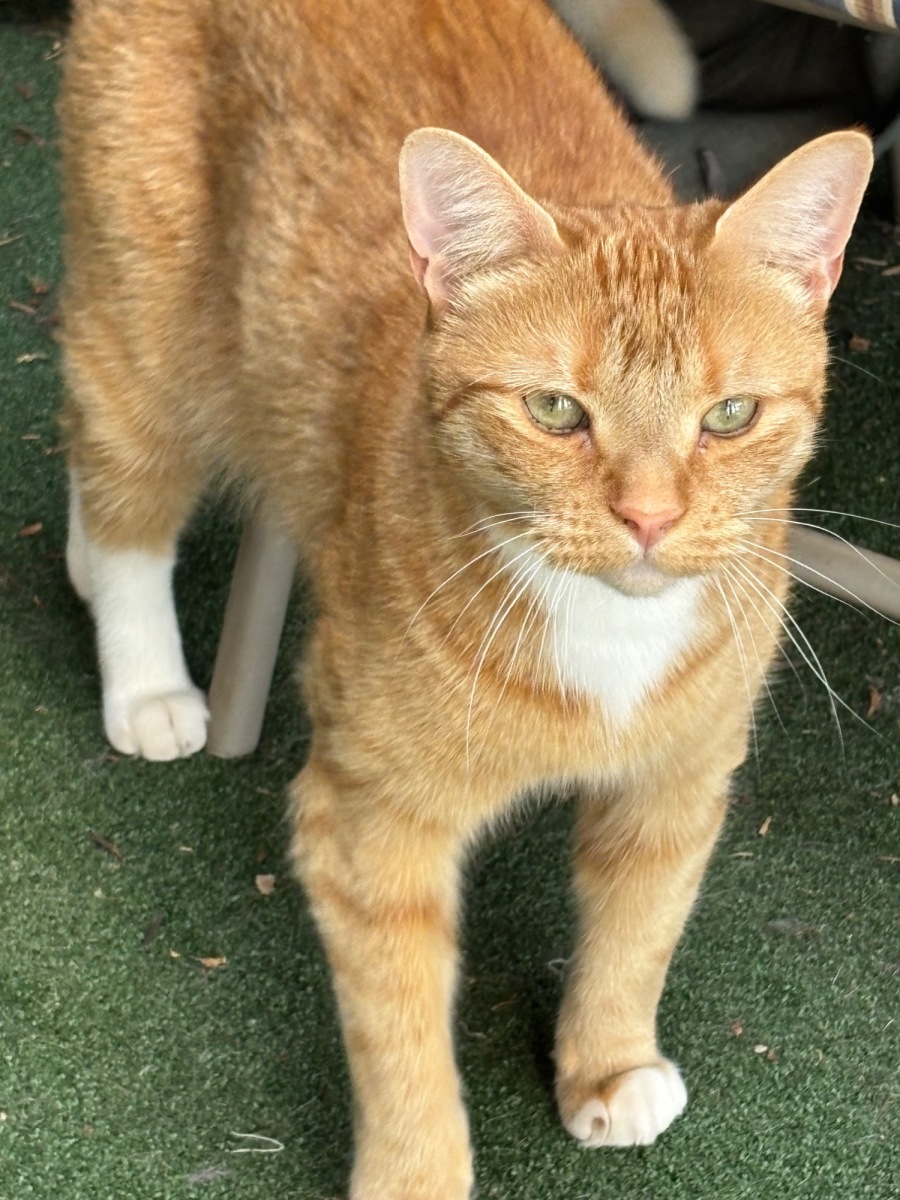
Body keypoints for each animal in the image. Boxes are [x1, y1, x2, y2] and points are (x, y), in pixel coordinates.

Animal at [58, 0, 872, 1196]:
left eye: (729, 417)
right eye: (554, 411)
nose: (649, 517)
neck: (601, 628)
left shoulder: (677, 784)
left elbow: (638, 933)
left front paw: (607, 1064)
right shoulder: (371, 826)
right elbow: (399, 1032)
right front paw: (417, 1172)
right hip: (153, 323)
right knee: (120, 471)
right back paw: (147, 677)